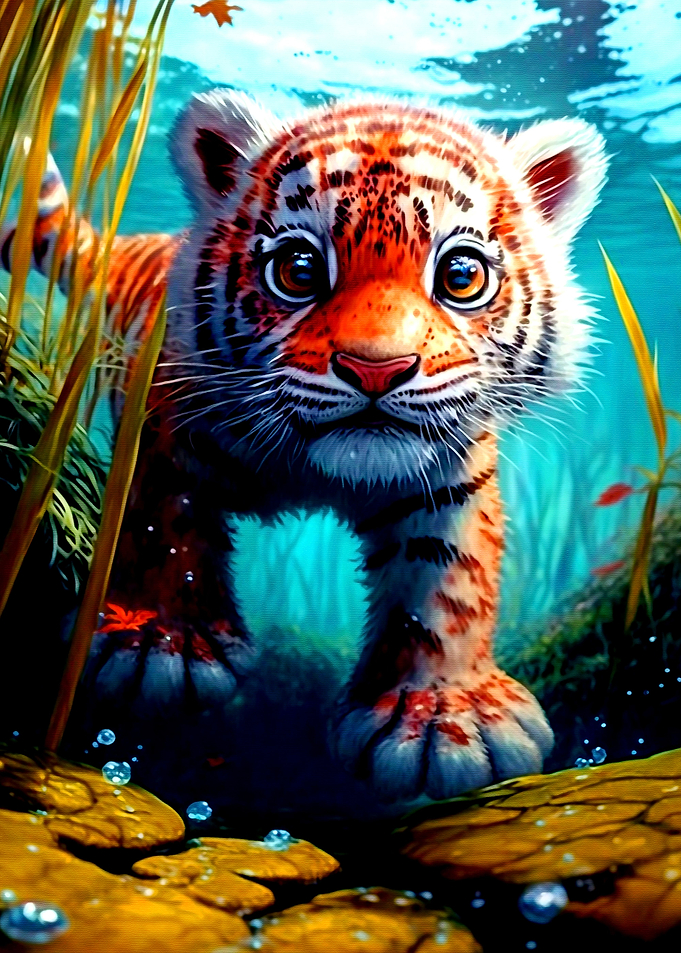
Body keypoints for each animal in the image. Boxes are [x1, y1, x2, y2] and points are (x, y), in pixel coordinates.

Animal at [1, 90, 608, 802]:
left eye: (460, 276)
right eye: (297, 271)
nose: (376, 367)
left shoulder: (450, 477)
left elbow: (447, 578)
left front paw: (441, 717)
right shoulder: (169, 428)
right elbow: (163, 526)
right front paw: (157, 646)